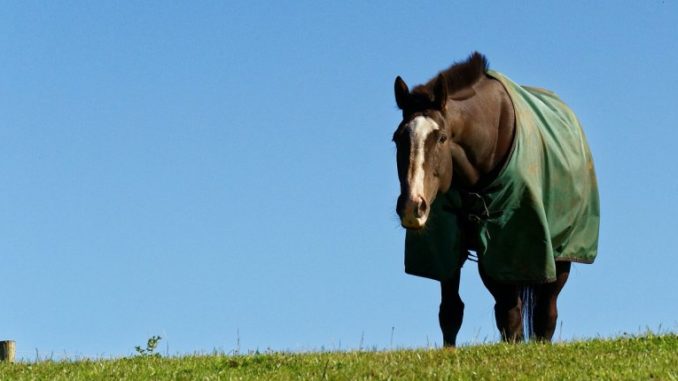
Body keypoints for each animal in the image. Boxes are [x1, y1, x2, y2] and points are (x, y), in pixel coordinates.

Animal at [394, 52, 600, 346]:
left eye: (441, 137)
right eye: (397, 138)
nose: (413, 206)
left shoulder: (513, 247)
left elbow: (511, 314)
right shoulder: (450, 248)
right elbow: (451, 312)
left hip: (561, 255)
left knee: (545, 313)